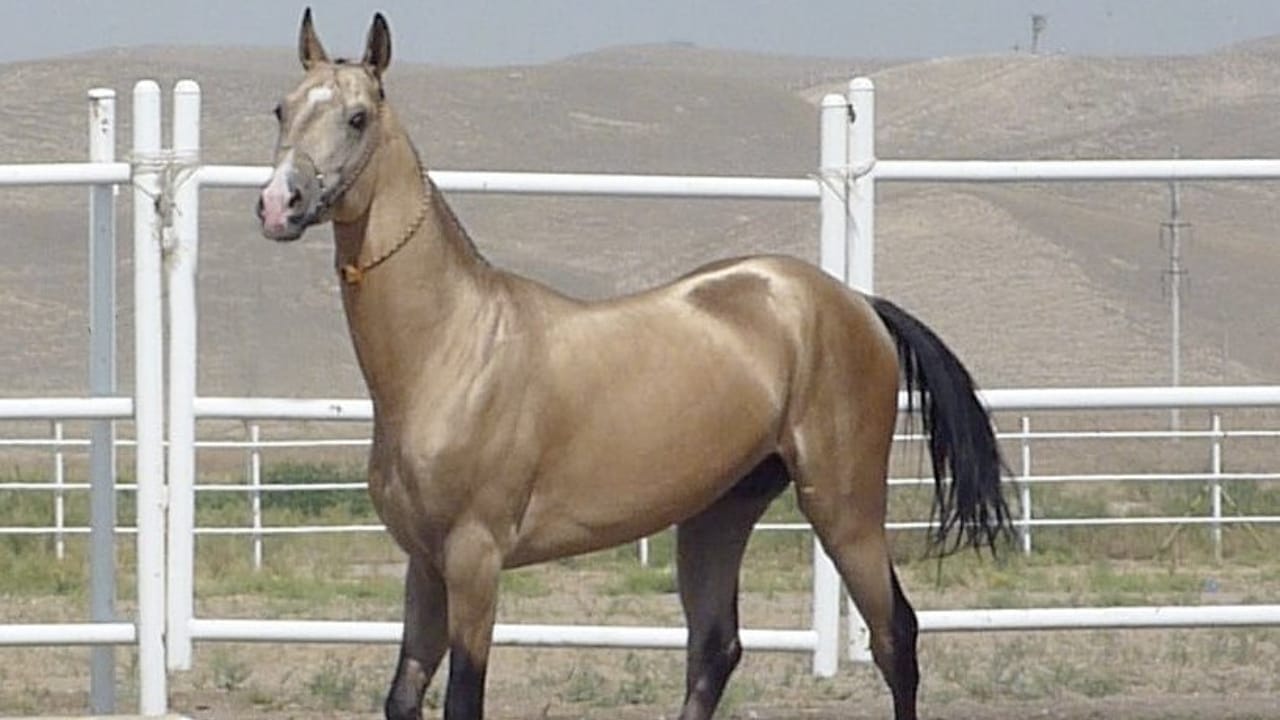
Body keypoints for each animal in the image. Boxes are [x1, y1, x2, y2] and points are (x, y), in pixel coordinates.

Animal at [256, 9, 1010, 720]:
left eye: (357, 117)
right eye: (283, 108)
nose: (277, 204)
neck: (452, 349)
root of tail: (855, 303)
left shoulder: (474, 560)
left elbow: (464, 699)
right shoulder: (423, 564)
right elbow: (403, 697)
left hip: (846, 508)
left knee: (895, 638)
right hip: (719, 513)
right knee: (715, 650)